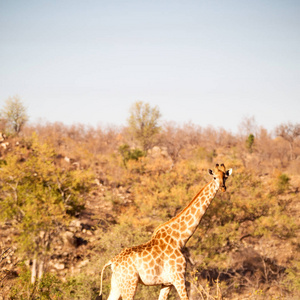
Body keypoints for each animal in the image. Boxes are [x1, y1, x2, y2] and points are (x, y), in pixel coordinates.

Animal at [96, 164, 232, 300]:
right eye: (214, 177)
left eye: (225, 176)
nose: (223, 188)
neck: (180, 239)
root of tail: (112, 262)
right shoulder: (178, 277)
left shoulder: (167, 283)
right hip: (129, 283)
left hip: (117, 284)